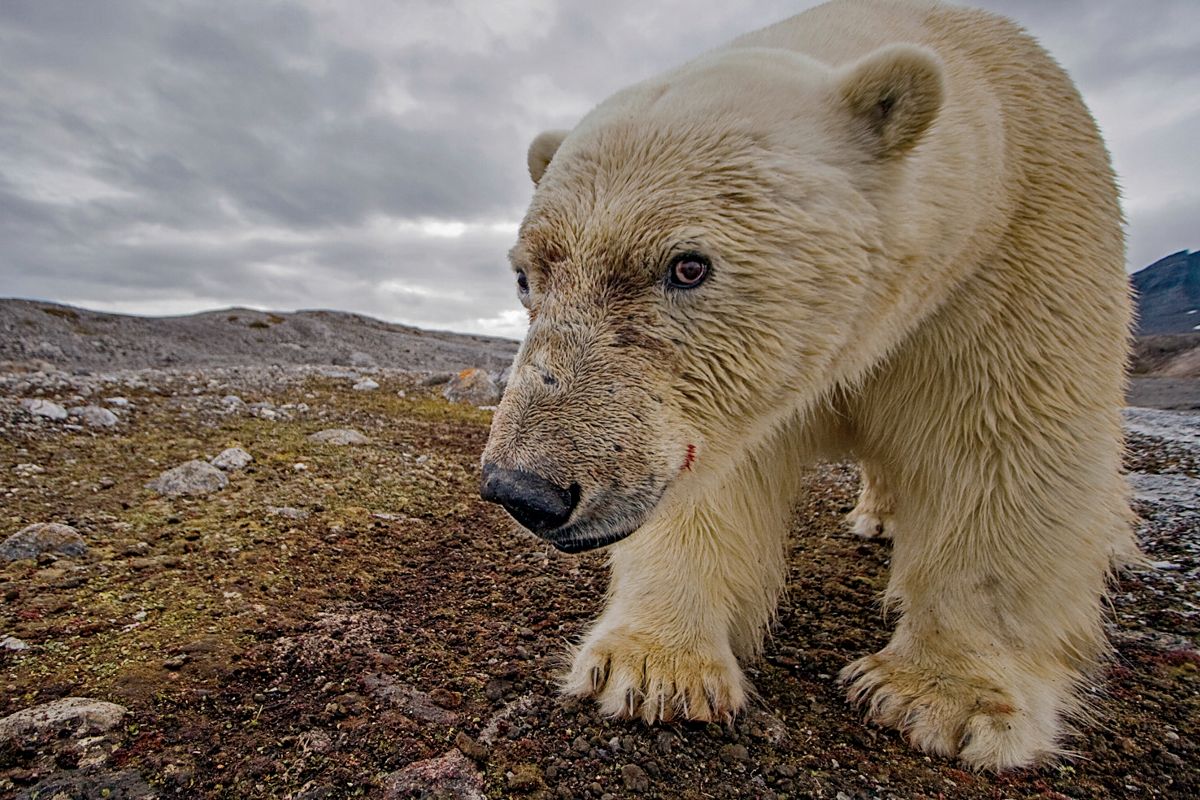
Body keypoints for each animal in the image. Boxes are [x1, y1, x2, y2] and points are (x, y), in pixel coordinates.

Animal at [477, 0, 1132, 772]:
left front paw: (943, 699)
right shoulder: (734, 395)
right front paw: (653, 667)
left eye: (688, 265)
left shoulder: (1014, 256)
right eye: (527, 276)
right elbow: (718, 480)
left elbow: (1005, 448)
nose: (525, 489)